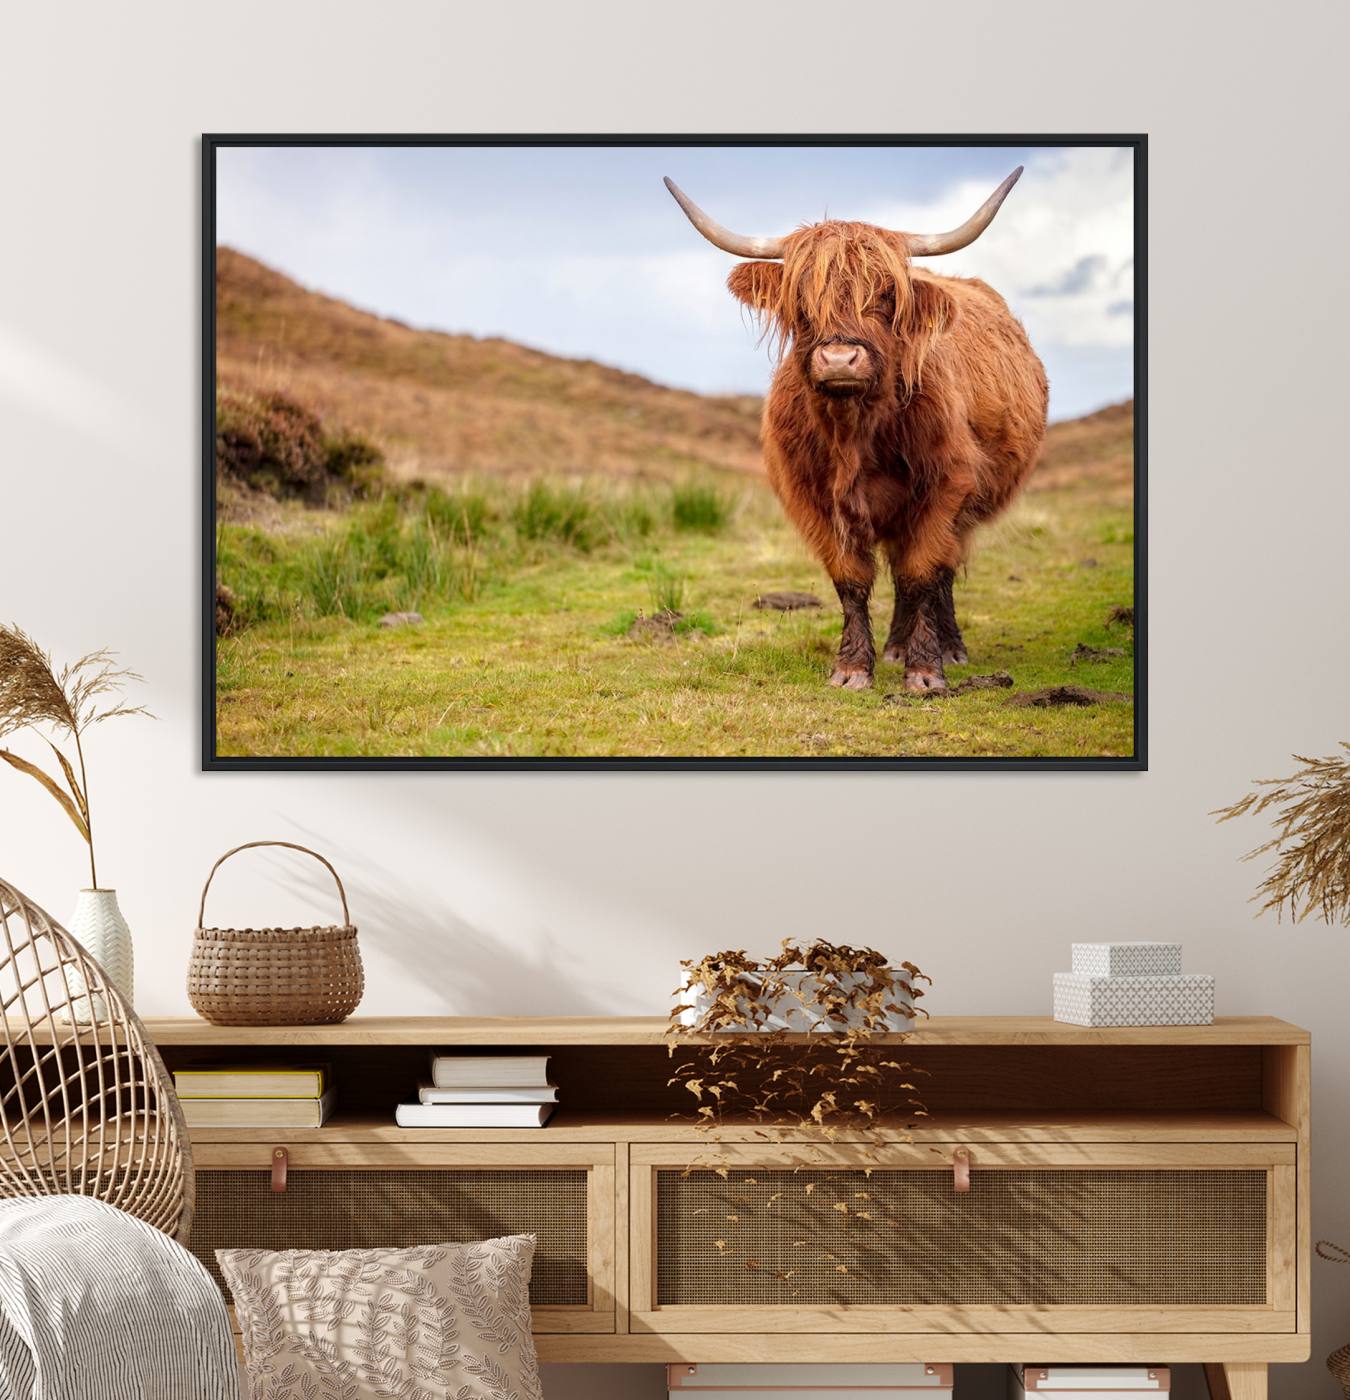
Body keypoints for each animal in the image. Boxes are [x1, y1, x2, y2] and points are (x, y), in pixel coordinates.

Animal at [665, 169, 1048, 694]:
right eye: (801, 298)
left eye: (886, 295)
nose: (839, 359)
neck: (854, 432)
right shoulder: (814, 499)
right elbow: (851, 579)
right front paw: (851, 668)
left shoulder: (945, 487)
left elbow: (922, 572)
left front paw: (926, 672)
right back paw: (894, 647)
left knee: (939, 572)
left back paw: (947, 646)